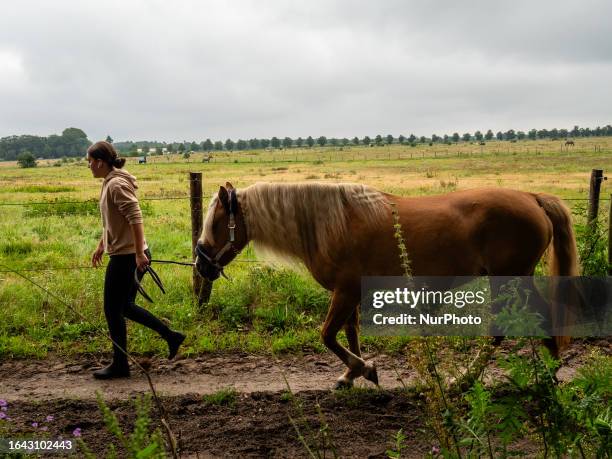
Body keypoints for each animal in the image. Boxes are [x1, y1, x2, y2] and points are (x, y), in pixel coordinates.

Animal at [196, 182, 580, 388]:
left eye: (216, 222)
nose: (200, 264)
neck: (330, 224)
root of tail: (531, 196)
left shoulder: (345, 292)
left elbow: (327, 335)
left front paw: (363, 369)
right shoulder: (350, 293)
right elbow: (349, 333)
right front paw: (352, 374)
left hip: (510, 280)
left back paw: (481, 378)